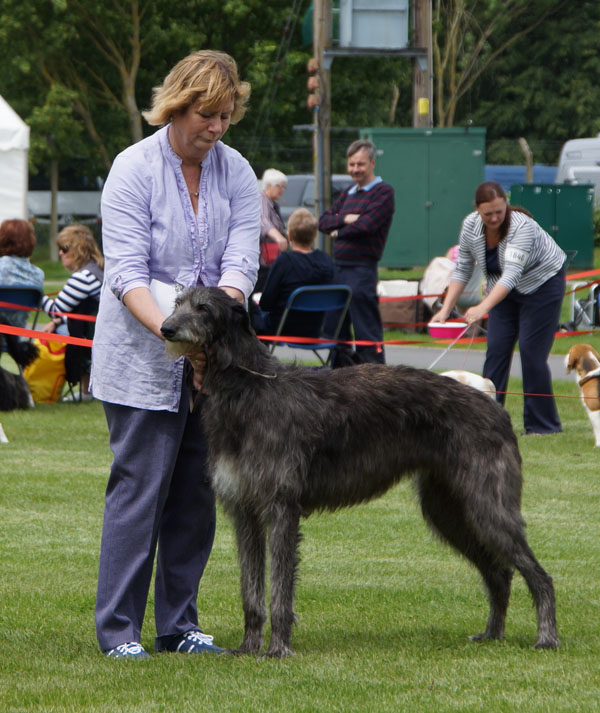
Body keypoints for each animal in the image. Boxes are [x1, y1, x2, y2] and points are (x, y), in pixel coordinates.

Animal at [159, 286, 556, 656]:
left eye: (203, 307)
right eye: (177, 303)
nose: (165, 328)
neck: (250, 387)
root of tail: (494, 406)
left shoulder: (281, 507)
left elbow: (280, 590)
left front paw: (278, 649)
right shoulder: (245, 511)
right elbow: (251, 592)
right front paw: (247, 647)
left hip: (488, 505)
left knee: (539, 575)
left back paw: (546, 637)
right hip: (448, 510)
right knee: (499, 573)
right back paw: (493, 633)